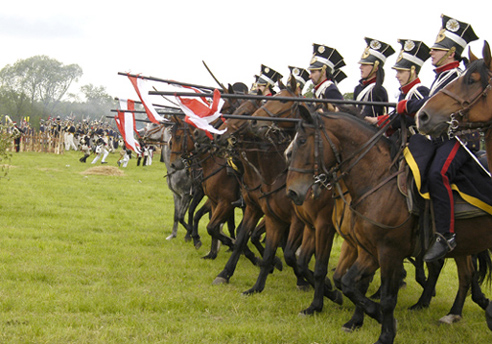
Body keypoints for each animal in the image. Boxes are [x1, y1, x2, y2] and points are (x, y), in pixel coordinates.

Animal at [286, 106, 492, 342]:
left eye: (302, 141)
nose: (292, 192)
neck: (377, 180)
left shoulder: (388, 252)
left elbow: (385, 297)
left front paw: (385, 332)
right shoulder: (368, 250)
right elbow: (349, 283)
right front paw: (360, 319)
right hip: (465, 244)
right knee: (466, 274)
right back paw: (452, 312)